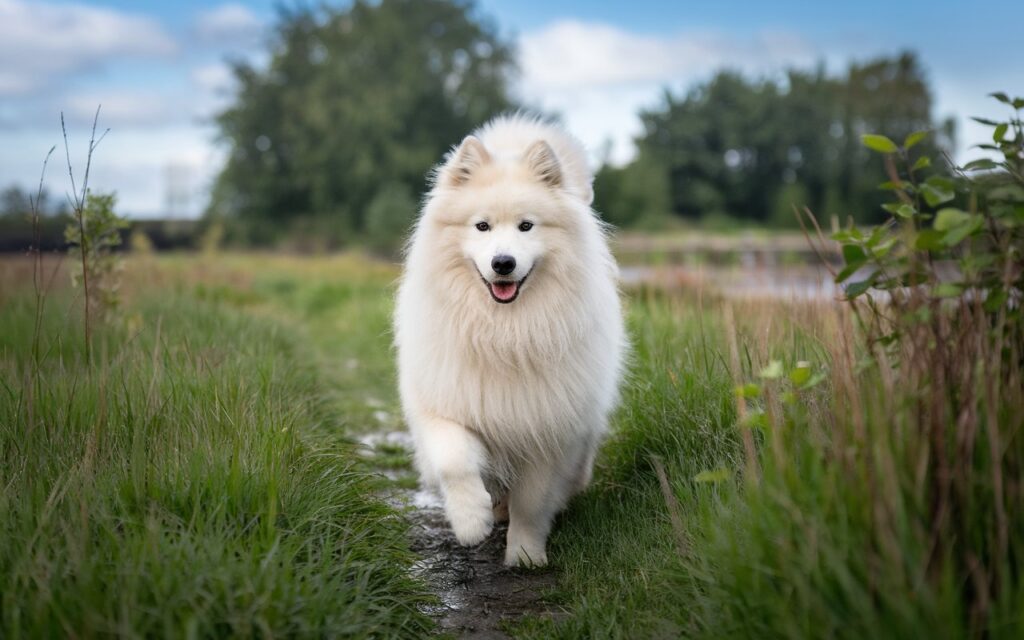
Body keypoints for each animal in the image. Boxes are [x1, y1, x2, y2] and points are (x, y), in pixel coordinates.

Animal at [393, 113, 622, 565]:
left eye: (526, 225)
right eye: (481, 226)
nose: (503, 263)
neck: (504, 332)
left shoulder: (546, 428)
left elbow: (532, 502)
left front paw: (526, 555)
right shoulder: (444, 402)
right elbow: (455, 460)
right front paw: (471, 521)